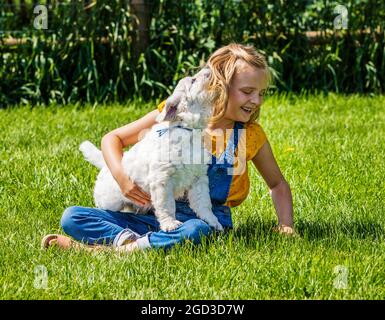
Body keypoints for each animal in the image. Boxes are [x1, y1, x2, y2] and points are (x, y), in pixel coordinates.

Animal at [79, 68, 222, 232]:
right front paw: (170, 224)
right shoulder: (162, 179)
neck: (188, 130)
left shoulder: (199, 178)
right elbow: (167, 205)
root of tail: (105, 165)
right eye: (193, 80)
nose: (209, 69)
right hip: (110, 200)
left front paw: (213, 222)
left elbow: (204, 202)